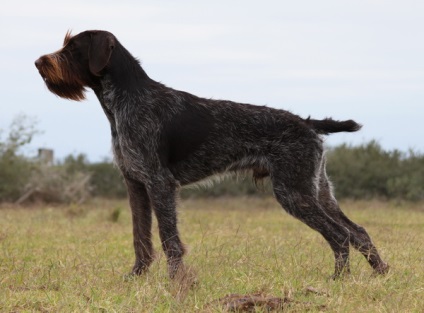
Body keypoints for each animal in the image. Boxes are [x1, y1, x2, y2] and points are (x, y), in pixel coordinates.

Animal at [34, 29, 390, 278]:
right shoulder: (135, 184)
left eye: (72, 48)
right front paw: (136, 277)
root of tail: (306, 122)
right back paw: (381, 273)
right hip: (318, 190)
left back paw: (339, 279)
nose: (39, 62)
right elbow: (140, 237)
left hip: (294, 192)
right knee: (357, 231)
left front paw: (176, 282)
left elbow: (168, 238)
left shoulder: (160, 183)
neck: (124, 100)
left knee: (340, 235)